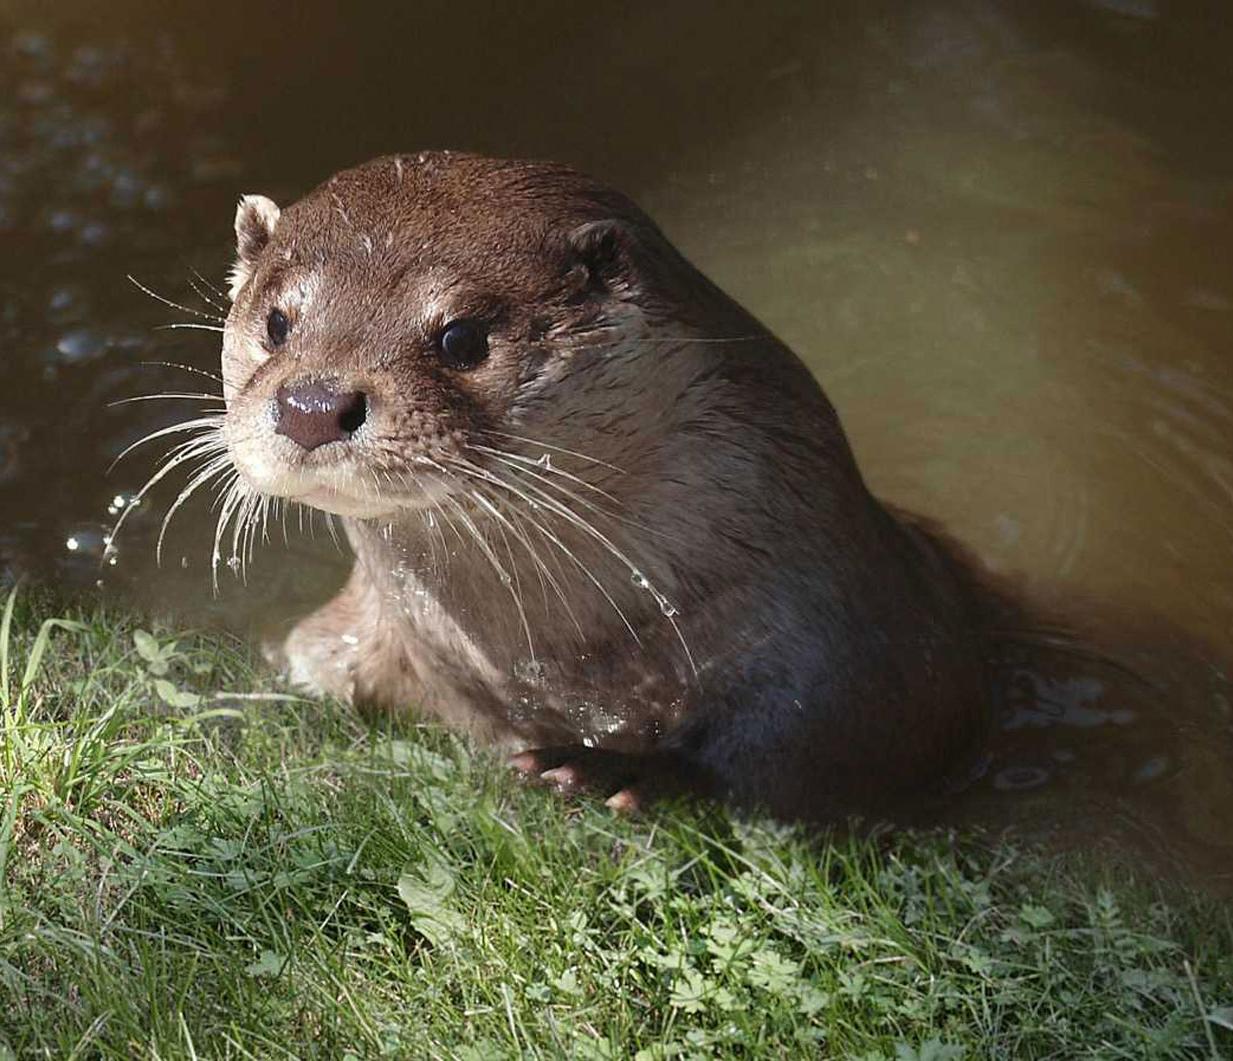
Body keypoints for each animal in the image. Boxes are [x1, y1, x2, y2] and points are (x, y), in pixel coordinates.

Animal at [217, 153, 986, 818]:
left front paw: (617, 768)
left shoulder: (867, 659)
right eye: (277, 323)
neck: (557, 666)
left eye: (462, 338)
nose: (312, 405)